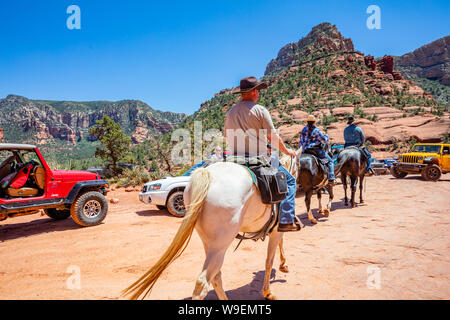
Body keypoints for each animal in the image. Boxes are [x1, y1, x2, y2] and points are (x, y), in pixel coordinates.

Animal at [121, 150, 300, 300]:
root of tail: (207, 173)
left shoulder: (274, 230)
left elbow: (279, 247)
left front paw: (283, 265)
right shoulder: (277, 230)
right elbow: (269, 260)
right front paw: (269, 290)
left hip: (210, 242)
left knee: (216, 276)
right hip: (221, 243)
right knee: (203, 282)